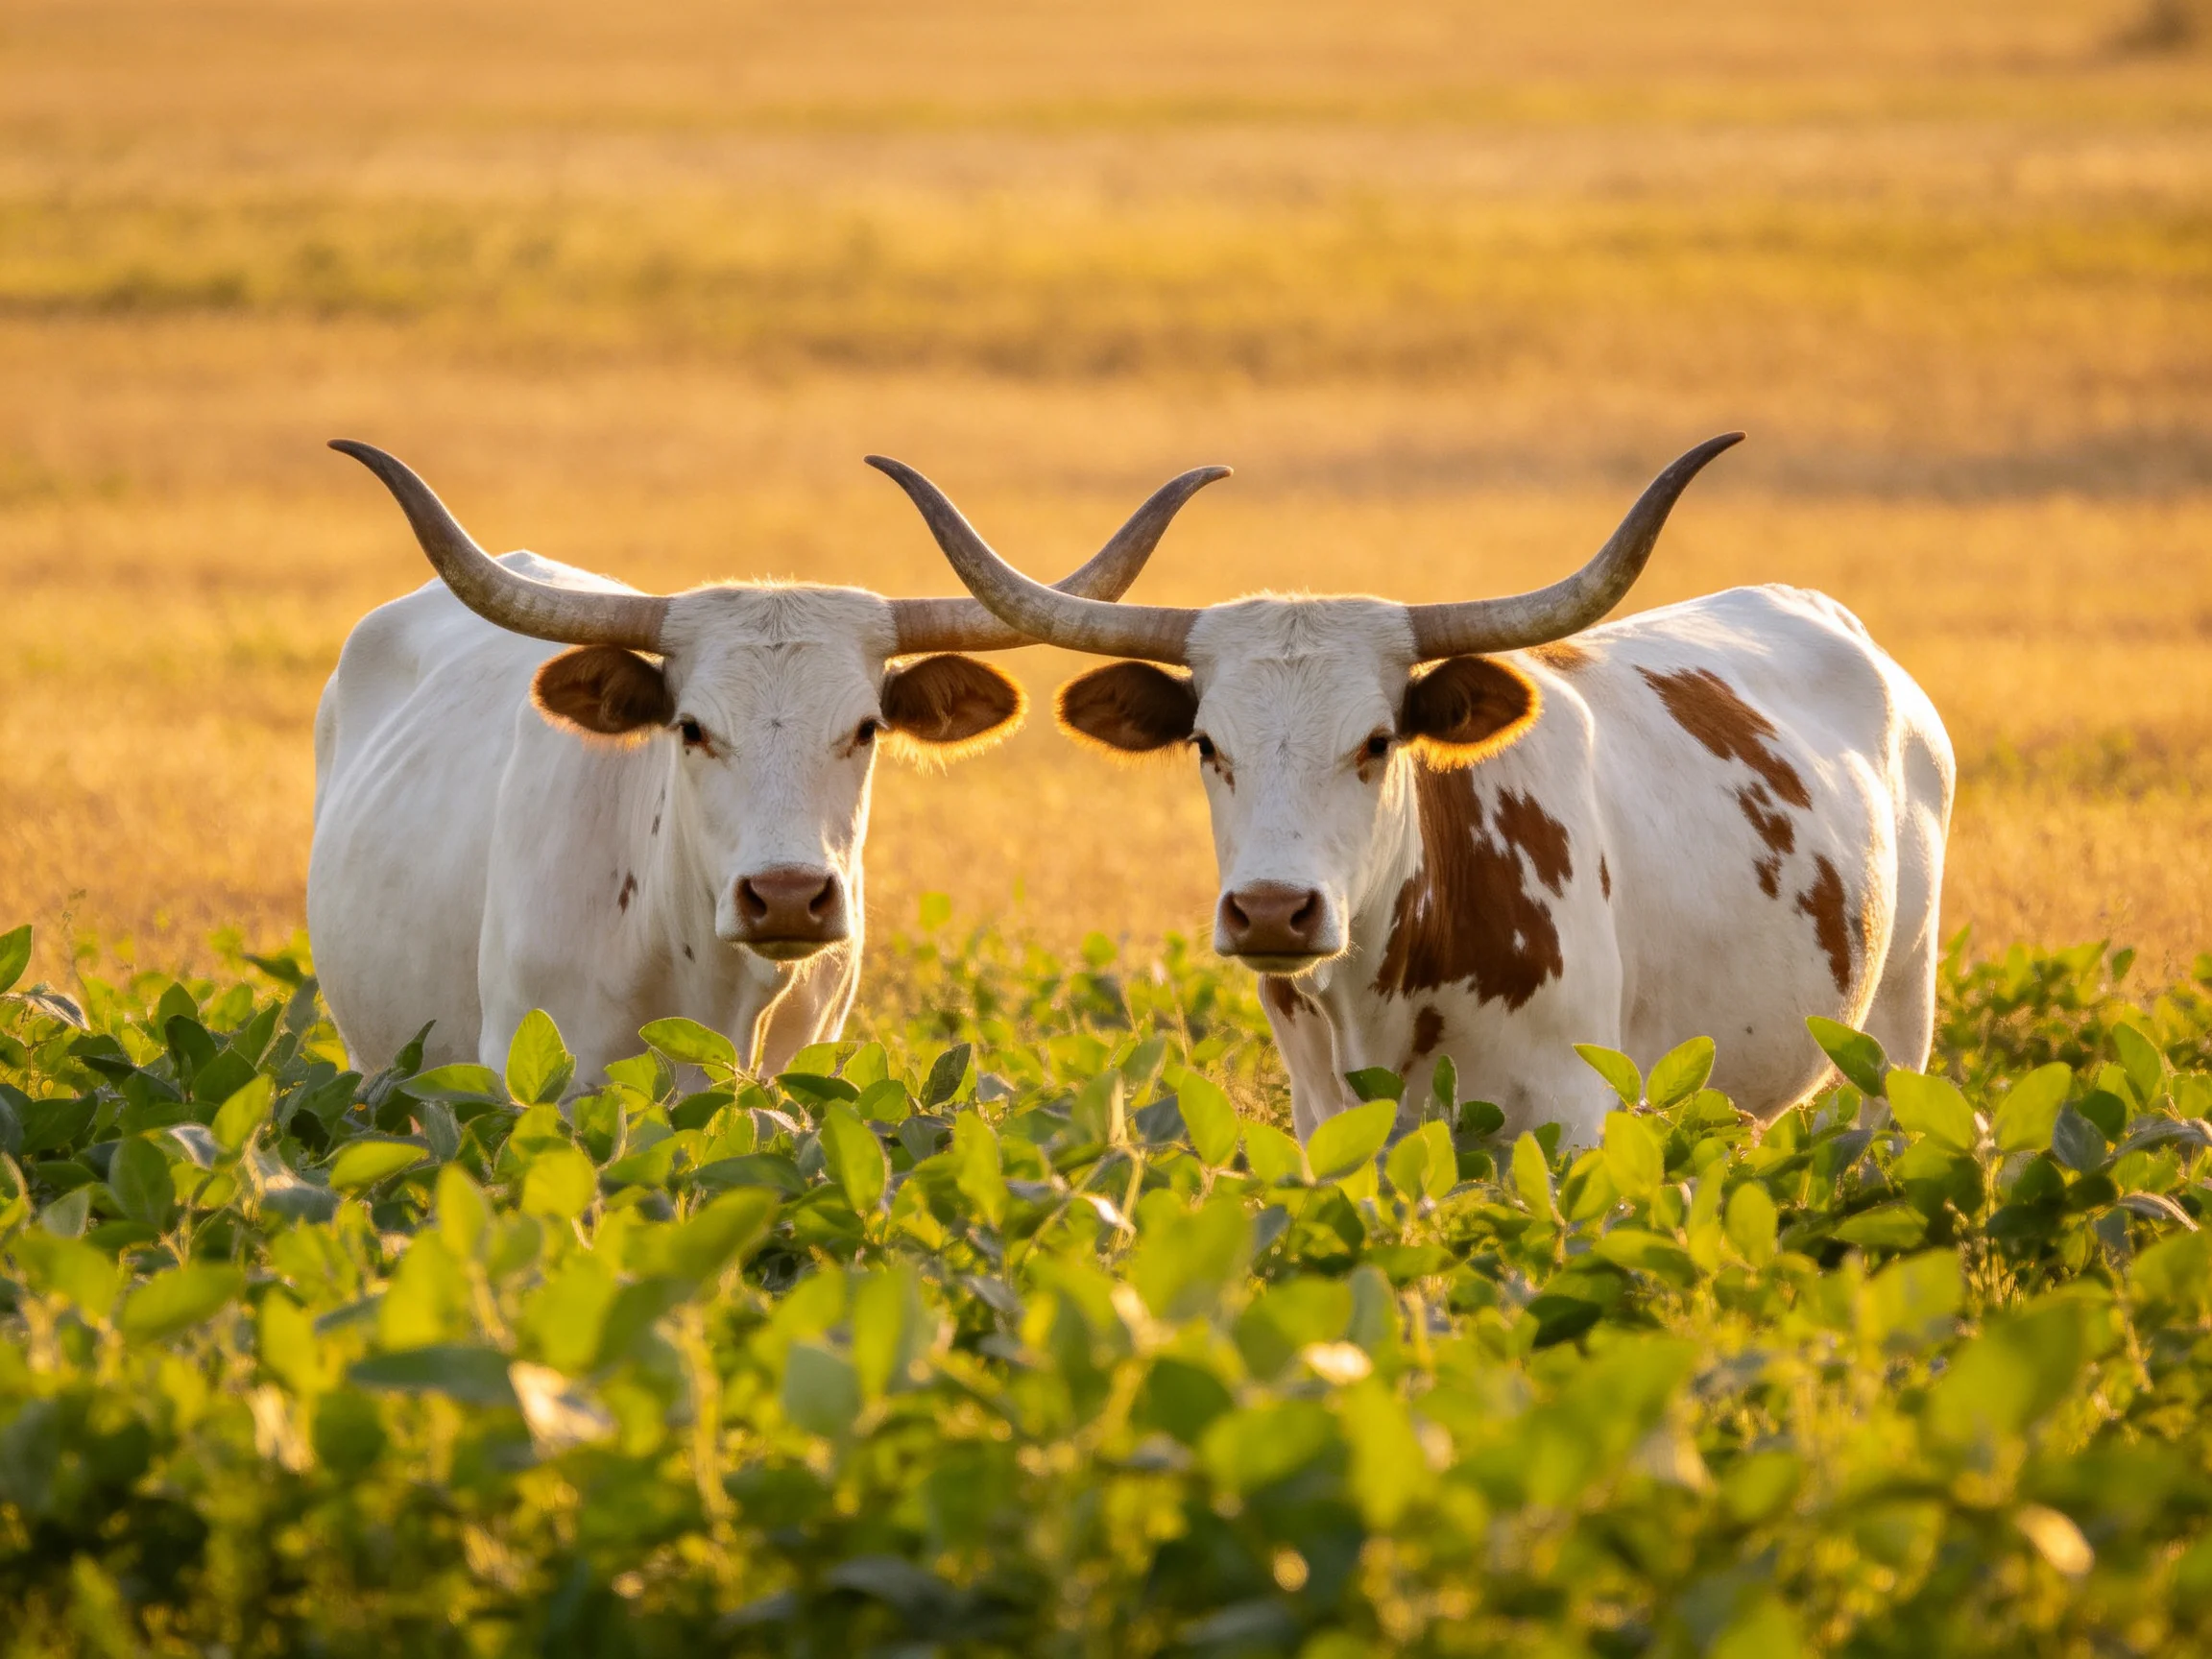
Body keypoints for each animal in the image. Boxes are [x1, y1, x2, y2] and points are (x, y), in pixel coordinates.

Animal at [873, 437, 1955, 1149]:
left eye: (1378, 741)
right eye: (1208, 746)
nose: (1274, 910)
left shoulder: (1574, 1119)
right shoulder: (1327, 1123)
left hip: (1897, 1032)